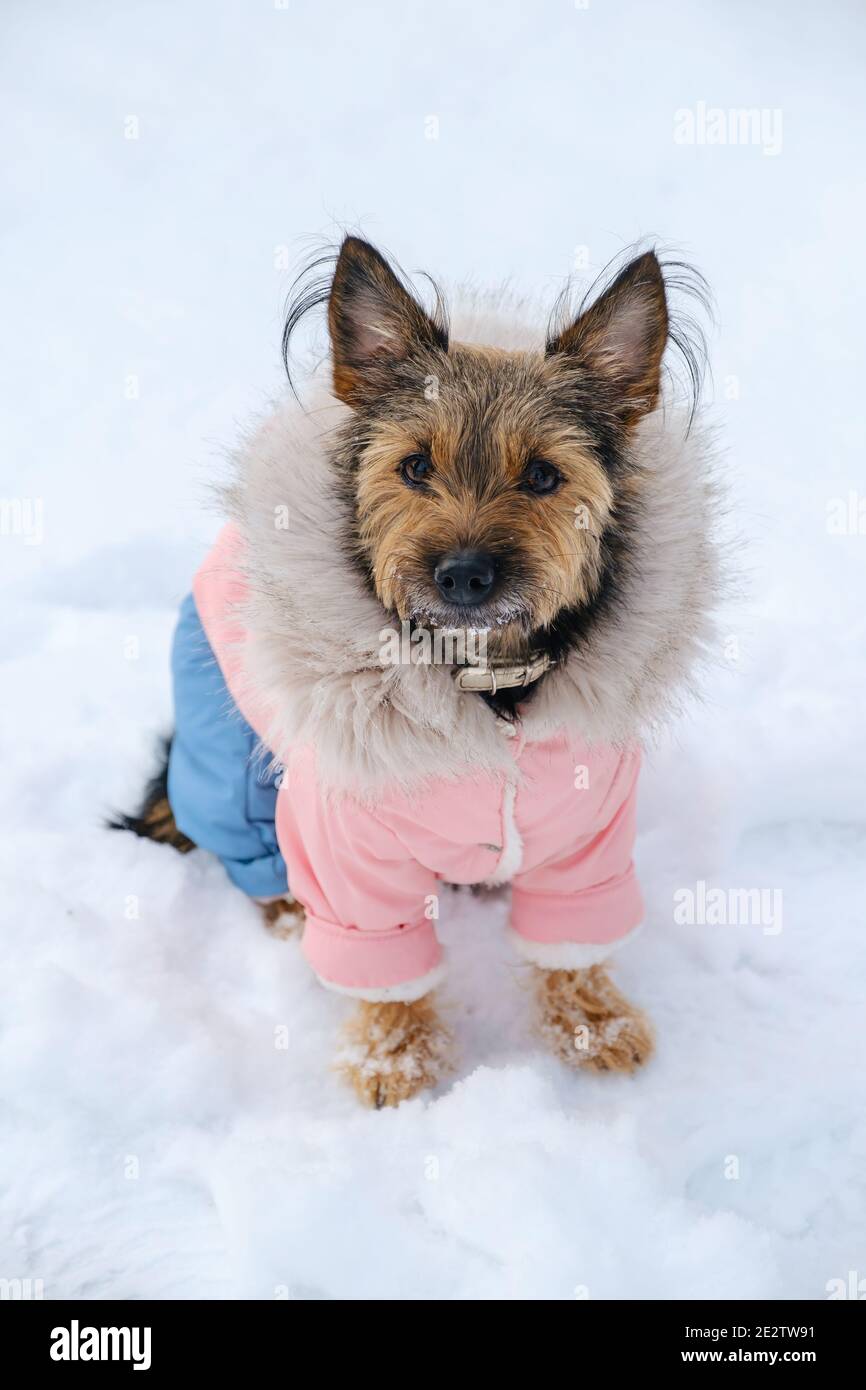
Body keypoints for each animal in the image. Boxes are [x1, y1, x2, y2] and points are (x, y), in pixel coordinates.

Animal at [116, 236, 717, 1106]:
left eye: (543, 475)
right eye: (413, 467)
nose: (463, 575)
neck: (485, 687)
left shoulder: (588, 831)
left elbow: (572, 939)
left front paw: (592, 1024)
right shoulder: (345, 838)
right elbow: (385, 964)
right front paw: (393, 1062)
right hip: (228, 757)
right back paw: (290, 910)